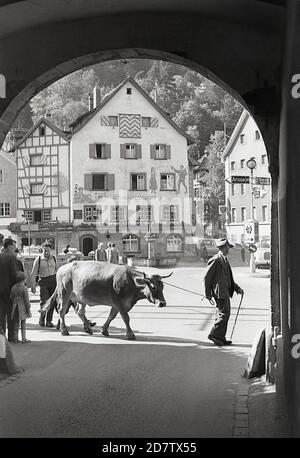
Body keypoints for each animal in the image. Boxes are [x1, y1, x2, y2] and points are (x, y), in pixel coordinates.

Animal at [40, 262, 171, 340]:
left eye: (162, 286)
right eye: (153, 287)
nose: (162, 303)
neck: (130, 282)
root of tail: (62, 267)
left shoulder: (118, 304)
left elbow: (111, 316)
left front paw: (104, 330)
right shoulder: (119, 302)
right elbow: (126, 318)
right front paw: (130, 334)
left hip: (80, 297)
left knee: (80, 312)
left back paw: (88, 328)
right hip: (64, 293)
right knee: (62, 310)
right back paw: (64, 330)